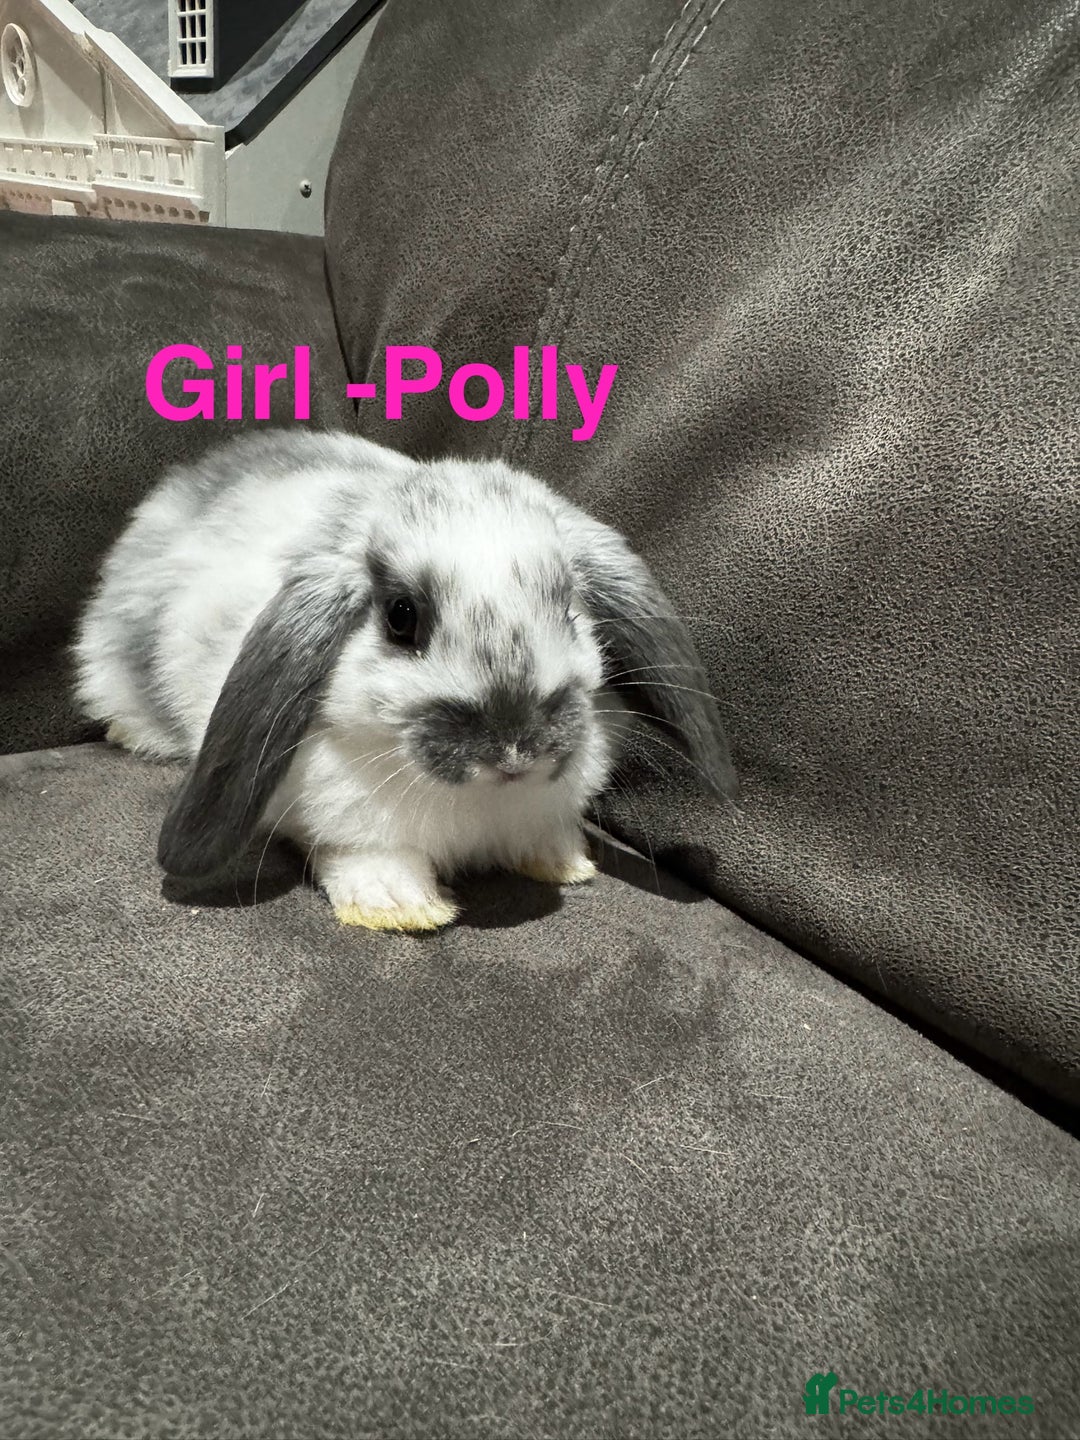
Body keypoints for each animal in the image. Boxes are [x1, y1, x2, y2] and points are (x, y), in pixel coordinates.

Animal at [74, 429, 737, 932]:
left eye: (569, 607)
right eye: (401, 616)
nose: (514, 749)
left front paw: (564, 861)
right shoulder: (343, 819)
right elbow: (366, 855)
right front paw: (400, 908)